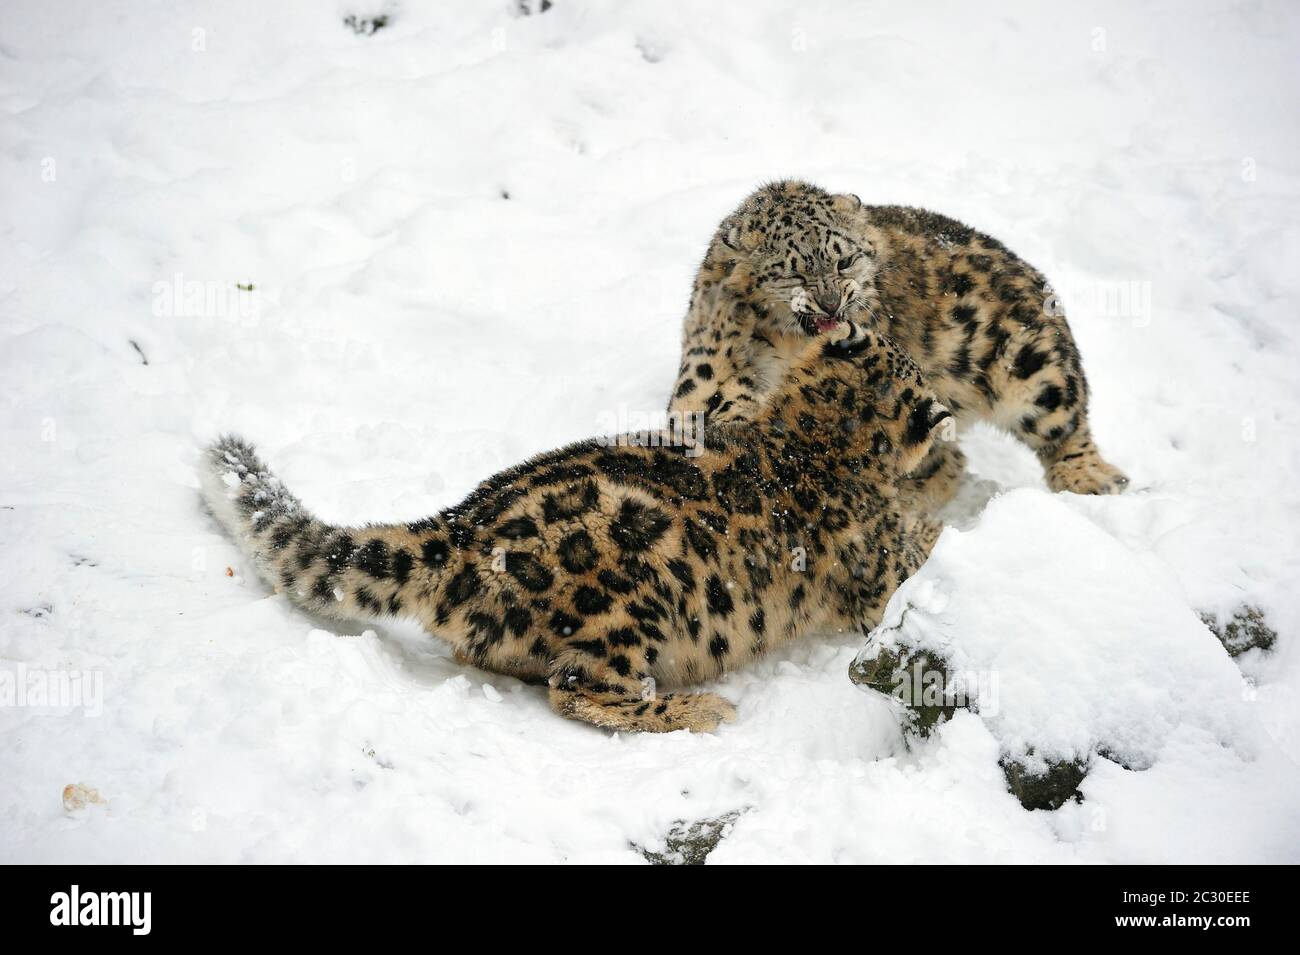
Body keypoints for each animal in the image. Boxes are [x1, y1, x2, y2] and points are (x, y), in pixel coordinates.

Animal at [208, 320, 951, 732]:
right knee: (579, 691)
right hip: (630, 603)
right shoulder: (876, 577)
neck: (813, 430)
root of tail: (456, 530)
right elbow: (917, 549)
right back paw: (698, 709)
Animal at [670, 178, 1128, 509]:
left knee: (1065, 426)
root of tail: (1039, 283)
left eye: (844, 260)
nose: (831, 303)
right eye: (794, 272)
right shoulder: (710, 362)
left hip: (1035, 368)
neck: (786, 341)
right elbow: (705, 404)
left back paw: (1089, 479)